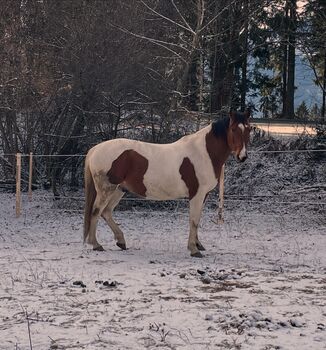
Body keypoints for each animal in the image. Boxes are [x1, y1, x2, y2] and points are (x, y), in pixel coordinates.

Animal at [83, 110, 251, 258]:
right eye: (234, 129)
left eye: (248, 129)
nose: (242, 157)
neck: (204, 153)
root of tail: (95, 149)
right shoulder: (196, 194)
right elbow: (194, 220)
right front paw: (194, 249)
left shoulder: (204, 195)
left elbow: (197, 219)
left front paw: (198, 244)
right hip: (106, 189)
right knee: (96, 211)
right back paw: (96, 244)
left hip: (119, 189)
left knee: (106, 212)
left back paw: (121, 241)